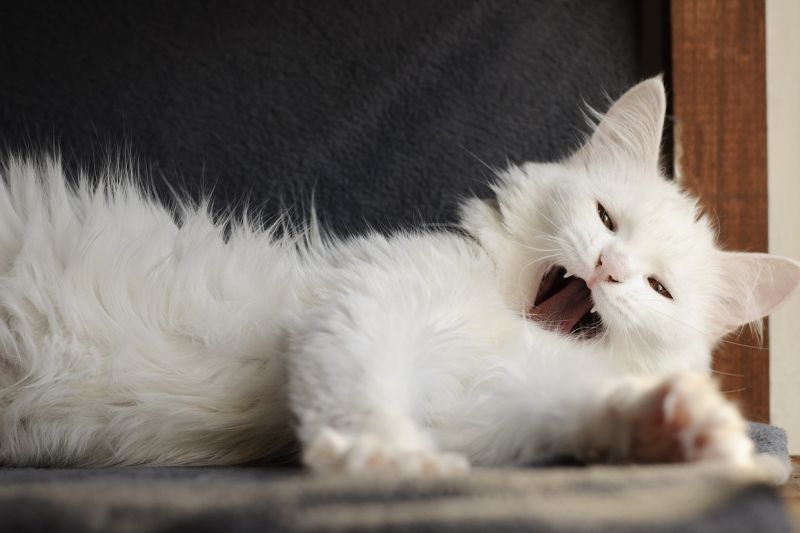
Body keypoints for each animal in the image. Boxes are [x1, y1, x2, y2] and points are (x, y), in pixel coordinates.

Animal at [0, 77, 796, 472]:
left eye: (658, 289)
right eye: (605, 217)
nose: (609, 266)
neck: (494, 319)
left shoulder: (484, 407)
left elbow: (566, 411)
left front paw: (674, 430)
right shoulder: (365, 304)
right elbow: (361, 393)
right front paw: (385, 457)